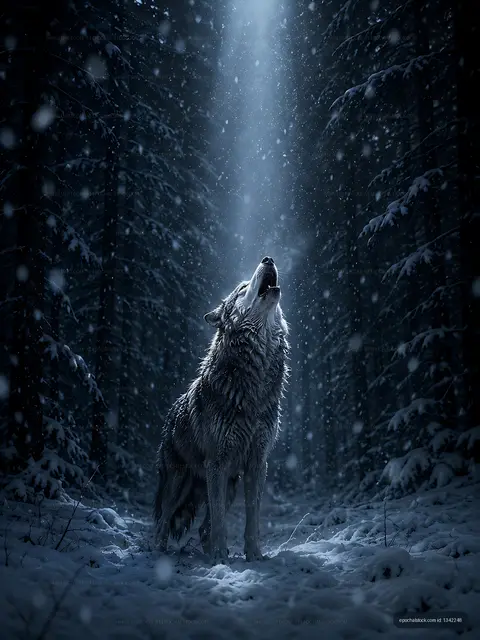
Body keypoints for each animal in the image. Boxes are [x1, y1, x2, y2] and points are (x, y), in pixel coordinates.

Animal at [153, 256, 289, 564]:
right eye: (242, 288)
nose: (268, 258)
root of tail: (168, 417)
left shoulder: (257, 463)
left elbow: (251, 519)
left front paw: (254, 555)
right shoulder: (217, 462)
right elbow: (219, 523)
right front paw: (219, 558)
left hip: (228, 486)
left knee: (204, 528)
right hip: (178, 483)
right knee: (164, 521)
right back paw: (157, 553)